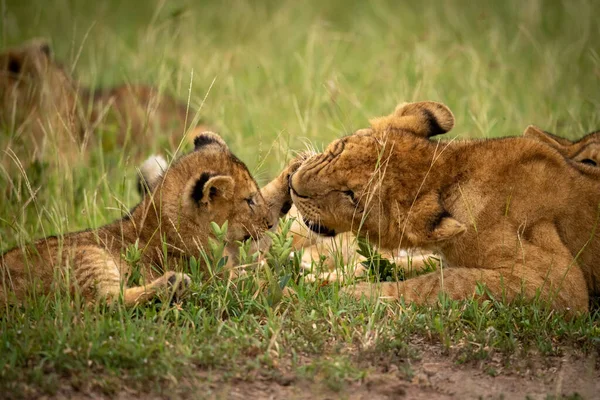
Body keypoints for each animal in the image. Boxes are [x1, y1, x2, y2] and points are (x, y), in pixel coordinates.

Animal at [290, 100, 600, 312]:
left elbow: (444, 282)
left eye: (352, 196)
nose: (293, 185)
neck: (452, 176)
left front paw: (356, 295)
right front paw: (318, 279)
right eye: (341, 147)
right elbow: (406, 263)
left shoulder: (558, 285)